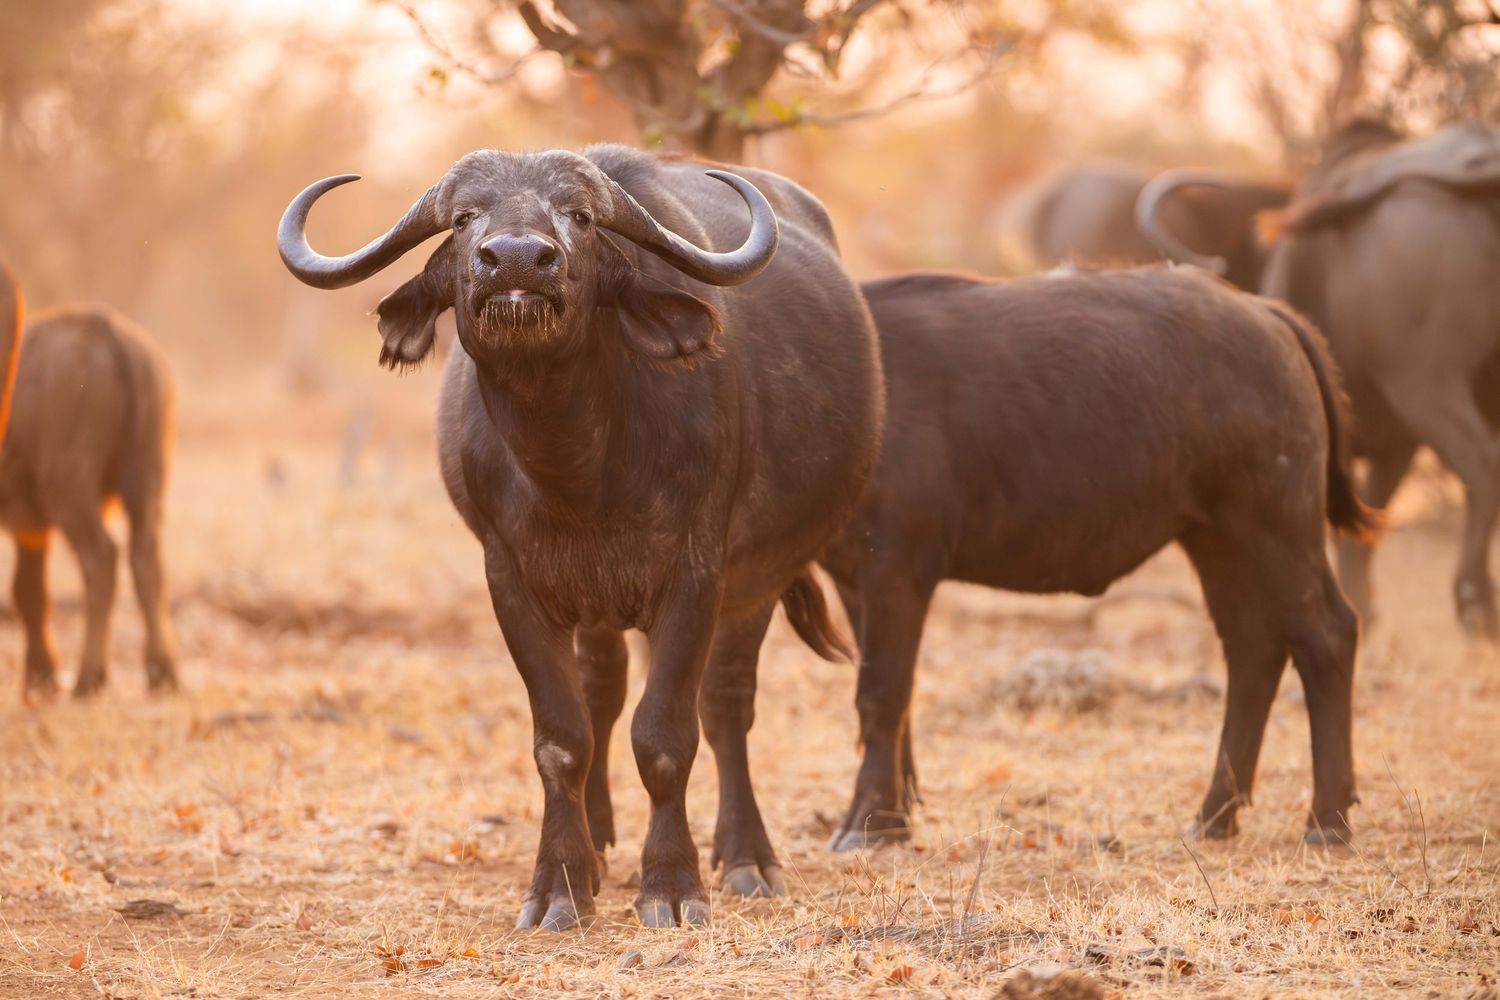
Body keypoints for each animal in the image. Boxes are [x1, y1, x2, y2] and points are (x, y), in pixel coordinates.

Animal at [0, 307, 179, 698]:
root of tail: (101, 326)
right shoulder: (31, 526)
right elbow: (28, 589)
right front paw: (40, 673)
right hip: (147, 482)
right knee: (147, 560)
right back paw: (162, 671)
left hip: (70, 492)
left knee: (101, 559)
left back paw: (89, 676)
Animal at [278, 146, 883, 930]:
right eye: (465, 217)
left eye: (583, 217)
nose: (516, 260)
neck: (578, 471)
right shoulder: (512, 583)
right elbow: (562, 739)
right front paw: (561, 884)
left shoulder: (696, 576)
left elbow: (665, 738)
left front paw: (672, 884)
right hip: (597, 603)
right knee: (603, 693)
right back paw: (597, 842)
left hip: (759, 582)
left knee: (725, 706)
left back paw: (746, 855)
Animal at [778, 267, 1371, 852]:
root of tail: (1268, 316)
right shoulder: (855, 581)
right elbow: (895, 705)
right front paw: (895, 815)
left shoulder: (897, 572)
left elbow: (880, 697)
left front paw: (869, 823)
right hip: (1217, 539)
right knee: (1253, 650)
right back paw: (1214, 816)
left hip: (1276, 528)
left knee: (1326, 635)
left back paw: (1326, 821)